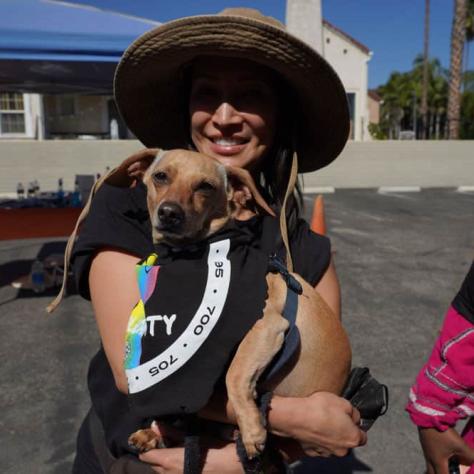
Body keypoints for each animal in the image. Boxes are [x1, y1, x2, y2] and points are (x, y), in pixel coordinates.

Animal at [128, 149, 350, 460]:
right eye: (160, 176)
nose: (169, 213)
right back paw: (155, 434)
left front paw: (252, 430)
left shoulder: (266, 327)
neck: (197, 255)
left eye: (205, 186)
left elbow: (234, 373)